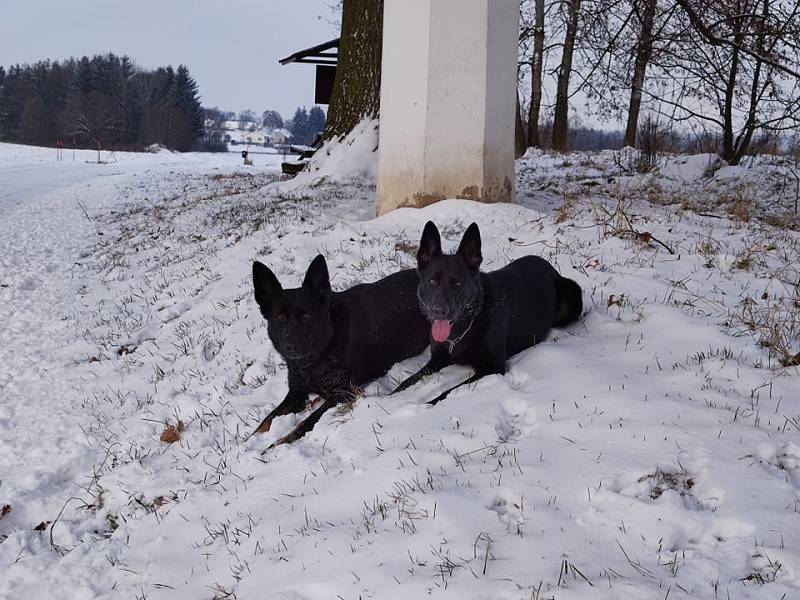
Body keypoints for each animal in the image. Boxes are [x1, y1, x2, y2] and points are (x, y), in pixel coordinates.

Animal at [253, 253, 432, 446]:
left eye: (306, 316)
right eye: (280, 318)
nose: (291, 346)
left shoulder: (342, 392)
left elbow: (307, 421)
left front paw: (277, 443)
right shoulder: (296, 393)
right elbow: (265, 421)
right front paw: (250, 442)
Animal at [394, 220, 580, 404]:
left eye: (458, 283)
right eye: (432, 281)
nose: (439, 312)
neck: (466, 327)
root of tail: (548, 266)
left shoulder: (492, 368)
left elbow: (447, 392)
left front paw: (427, 404)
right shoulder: (436, 360)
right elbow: (407, 382)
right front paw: (391, 398)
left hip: (573, 296)